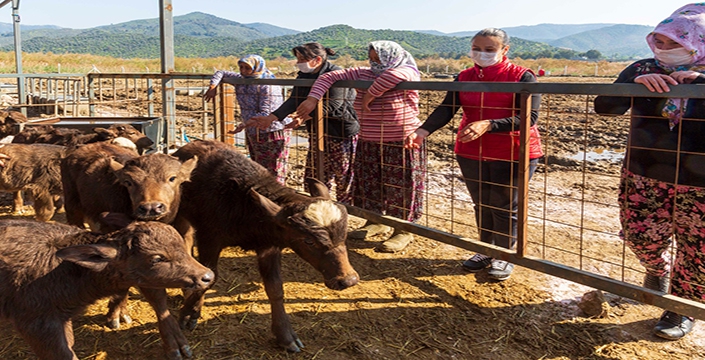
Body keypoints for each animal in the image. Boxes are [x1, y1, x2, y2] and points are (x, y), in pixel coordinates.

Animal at [170, 140, 358, 352]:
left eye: (344, 234)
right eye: (308, 240)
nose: (348, 280)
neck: (242, 204)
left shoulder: (269, 248)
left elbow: (276, 289)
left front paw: (285, 335)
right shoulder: (209, 239)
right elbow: (210, 276)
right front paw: (189, 313)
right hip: (180, 215)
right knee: (184, 240)